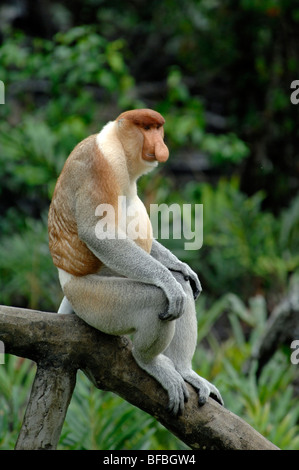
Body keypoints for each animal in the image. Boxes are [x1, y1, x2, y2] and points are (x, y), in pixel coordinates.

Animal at [48, 108, 224, 414]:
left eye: (158, 128)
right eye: (147, 128)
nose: (161, 145)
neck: (116, 144)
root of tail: (67, 287)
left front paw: (182, 267)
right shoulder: (99, 166)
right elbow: (98, 234)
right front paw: (169, 282)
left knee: (180, 287)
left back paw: (185, 370)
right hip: (92, 299)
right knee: (158, 299)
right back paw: (150, 362)